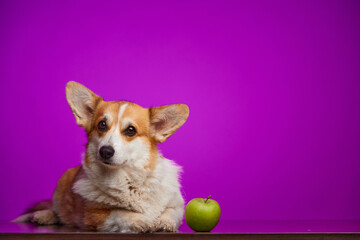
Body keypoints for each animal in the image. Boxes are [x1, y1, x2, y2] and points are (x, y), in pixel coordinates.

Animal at [14, 81, 188, 232]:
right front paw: (142, 219)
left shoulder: (177, 205)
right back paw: (43, 215)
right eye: (102, 125)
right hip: (62, 183)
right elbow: (121, 212)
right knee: (55, 209)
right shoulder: (96, 215)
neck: (129, 180)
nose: (105, 151)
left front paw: (163, 222)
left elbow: (170, 212)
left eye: (131, 130)